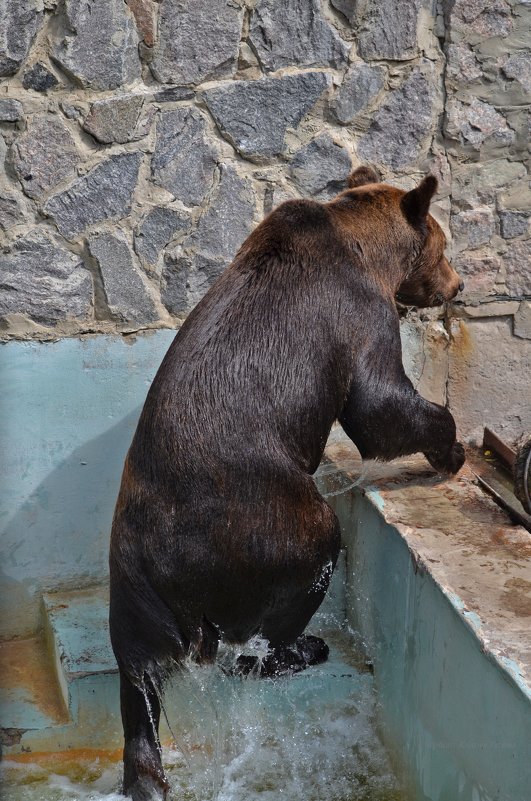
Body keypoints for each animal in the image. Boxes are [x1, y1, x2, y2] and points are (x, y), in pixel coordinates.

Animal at [109, 166, 466, 796]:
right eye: (442, 248)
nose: (459, 284)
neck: (365, 250)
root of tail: (171, 573)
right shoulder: (353, 316)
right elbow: (379, 406)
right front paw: (453, 446)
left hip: (131, 584)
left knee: (138, 683)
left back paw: (146, 769)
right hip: (265, 524)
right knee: (308, 562)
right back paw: (301, 647)